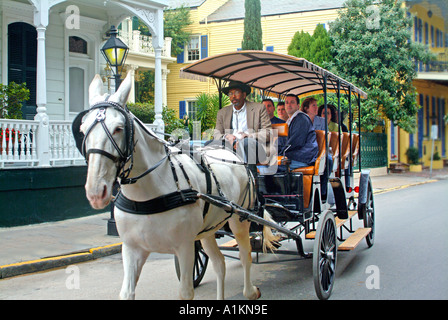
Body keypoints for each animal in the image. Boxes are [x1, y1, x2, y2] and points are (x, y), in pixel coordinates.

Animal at [79, 72, 278, 300]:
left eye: (119, 128)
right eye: (82, 129)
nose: (96, 192)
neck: (148, 193)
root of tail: (234, 155)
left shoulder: (185, 247)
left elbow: (185, 292)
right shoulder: (131, 249)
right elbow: (126, 293)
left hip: (239, 219)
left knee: (246, 256)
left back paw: (250, 291)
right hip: (208, 230)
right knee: (220, 263)